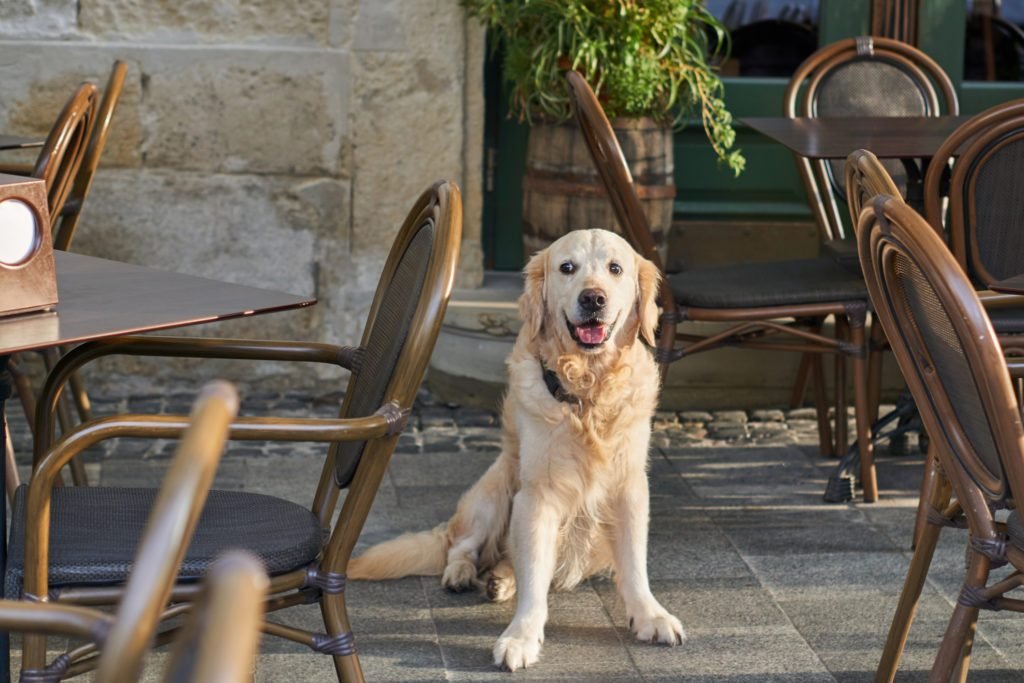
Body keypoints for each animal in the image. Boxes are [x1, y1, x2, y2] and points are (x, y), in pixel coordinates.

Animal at [348, 229, 684, 671]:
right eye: (567, 267)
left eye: (615, 268)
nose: (593, 298)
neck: (586, 393)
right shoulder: (536, 496)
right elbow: (534, 577)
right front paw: (521, 636)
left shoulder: (628, 488)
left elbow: (633, 566)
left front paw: (649, 616)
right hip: (496, 489)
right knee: (460, 545)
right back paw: (462, 574)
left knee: (507, 561)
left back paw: (499, 580)